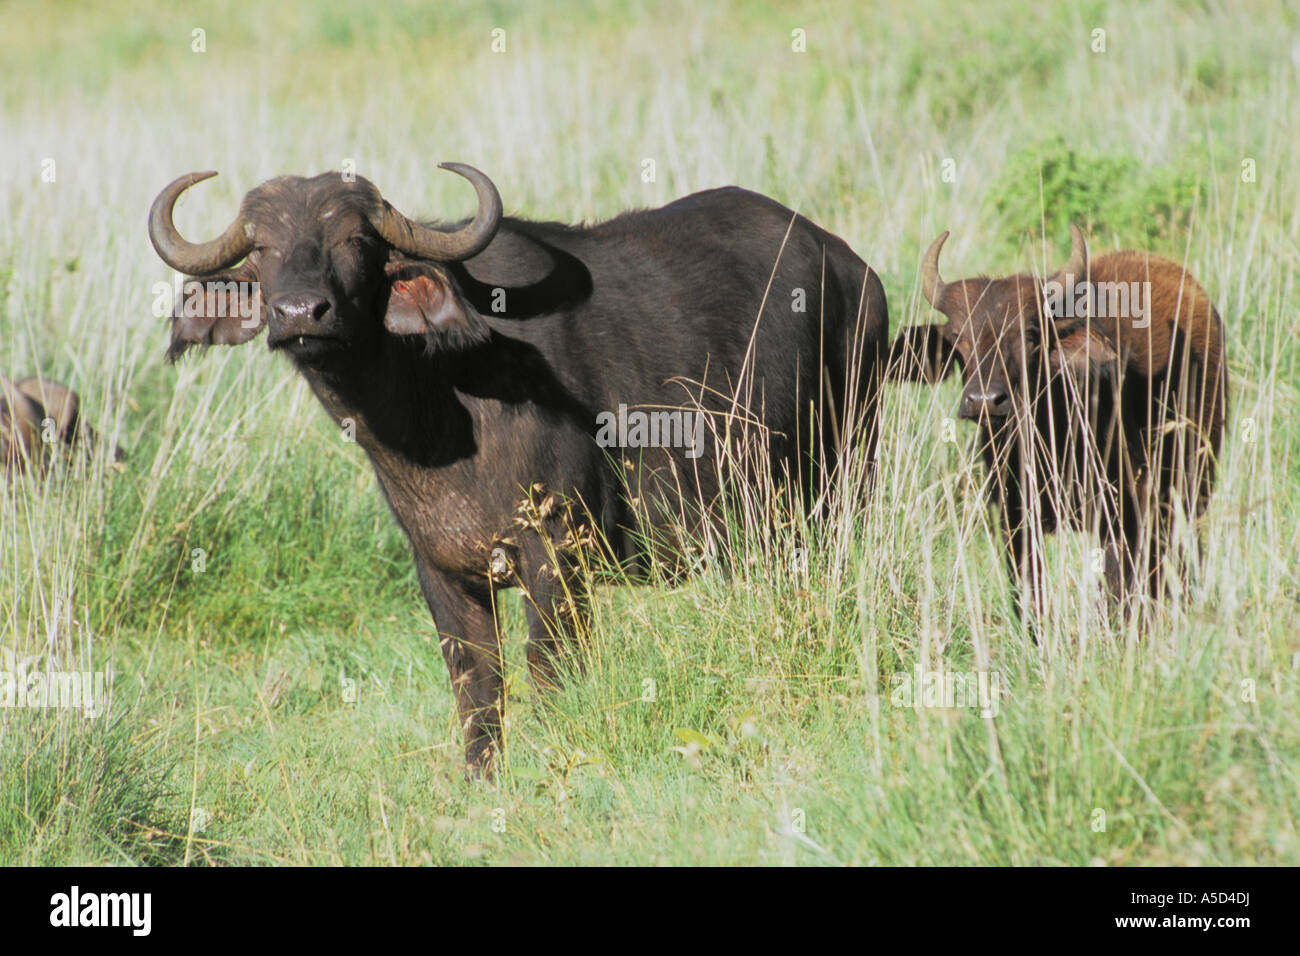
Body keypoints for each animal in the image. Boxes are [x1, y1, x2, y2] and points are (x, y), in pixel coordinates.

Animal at [147, 164, 889, 775]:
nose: (301, 313)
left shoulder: (558, 549)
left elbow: (549, 667)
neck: (438, 408)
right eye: (262, 249)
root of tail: (854, 269)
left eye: (355, 242)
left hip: (848, 469)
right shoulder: (440, 567)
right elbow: (476, 683)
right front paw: (483, 780)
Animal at [889, 225, 1222, 621]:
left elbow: (1119, 588)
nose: (984, 401)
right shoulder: (1015, 518)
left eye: (1031, 336)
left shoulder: (1122, 514)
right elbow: (1029, 593)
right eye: (958, 339)